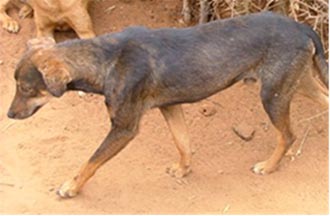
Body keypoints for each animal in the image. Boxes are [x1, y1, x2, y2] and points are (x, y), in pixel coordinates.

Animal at [7, 11, 328, 197]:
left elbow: (91, 161)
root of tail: (301, 27)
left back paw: (269, 166)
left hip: (273, 94)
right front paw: (184, 170)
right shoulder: (170, 106)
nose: (9, 114)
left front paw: (71, 187)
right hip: (297, 83)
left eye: (26, 89)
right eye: (16, 86)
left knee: (288, 135)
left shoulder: (123, 128)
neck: (104, 59)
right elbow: (183, 143)